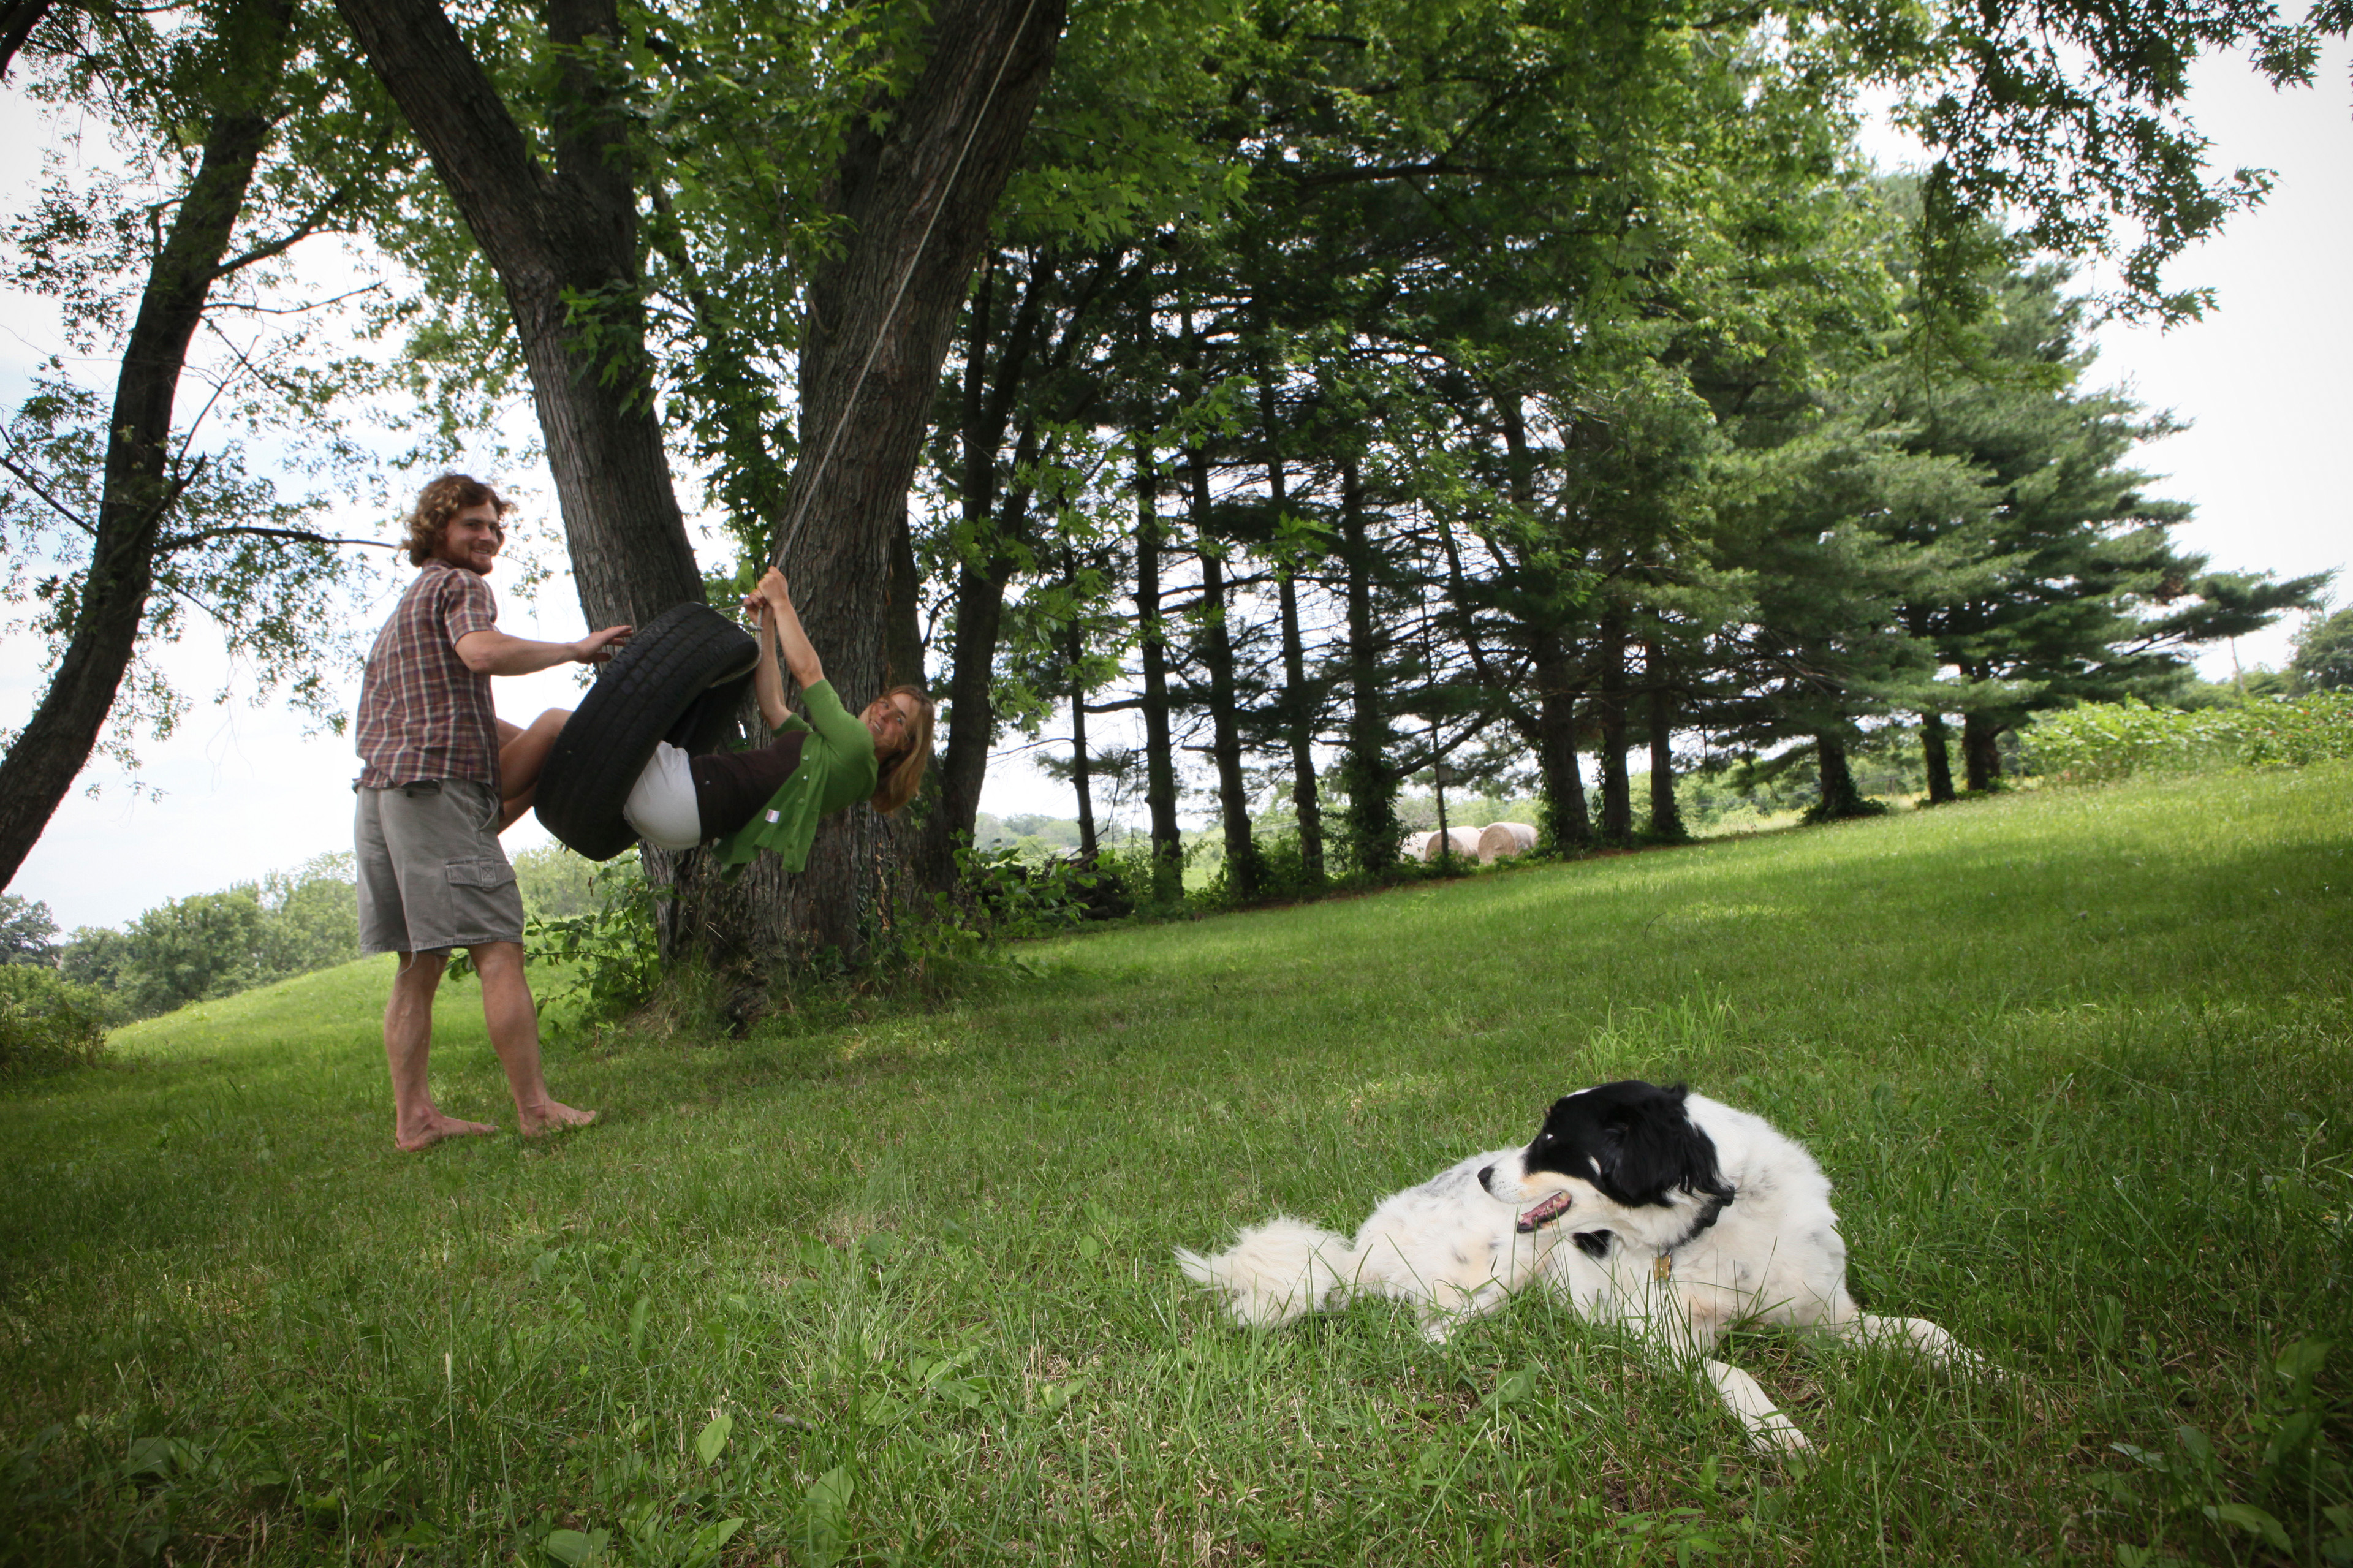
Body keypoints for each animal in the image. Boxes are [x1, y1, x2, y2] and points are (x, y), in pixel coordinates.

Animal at [1172, 1083, 1967, 1450]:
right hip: (1501, 1273)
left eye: (1552, 1143)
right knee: (1431, 1331)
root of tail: (1359, 1246)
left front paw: (1989, 1374)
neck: (1715, 1222)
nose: (1488, 1173)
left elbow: (1928, 1332)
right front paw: (1779, 1434)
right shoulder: (1668, 1343)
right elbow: (1736, 1373)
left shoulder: (1830, 1315)